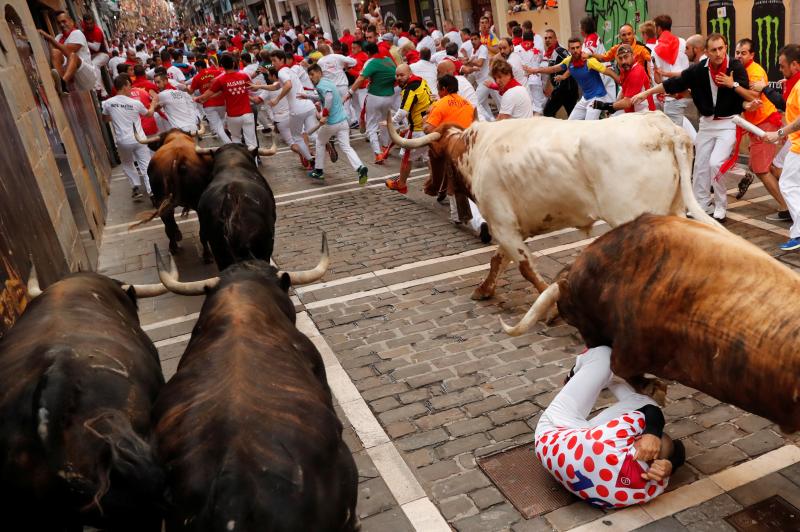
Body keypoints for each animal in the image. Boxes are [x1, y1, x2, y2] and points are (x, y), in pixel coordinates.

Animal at [388, 110, 720, 302]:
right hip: (673, 212)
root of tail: (662, 128)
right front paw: (485, 289)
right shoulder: (509, 227)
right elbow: (499, 260)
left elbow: (525, 267)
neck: (477, 149)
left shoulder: (502, 224)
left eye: (433, 154)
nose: (427, 187)